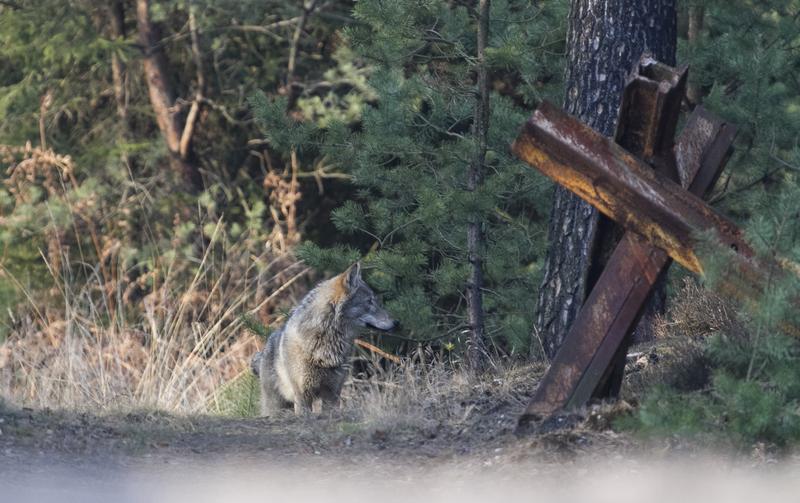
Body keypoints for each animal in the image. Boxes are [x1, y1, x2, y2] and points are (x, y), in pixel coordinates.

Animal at [250, 262, 396, 416]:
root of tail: (263, 350)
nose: (397, 322)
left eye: (374, 301)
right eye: (369, 301)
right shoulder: (303, 395)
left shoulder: (332, 393)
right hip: (276, 405)